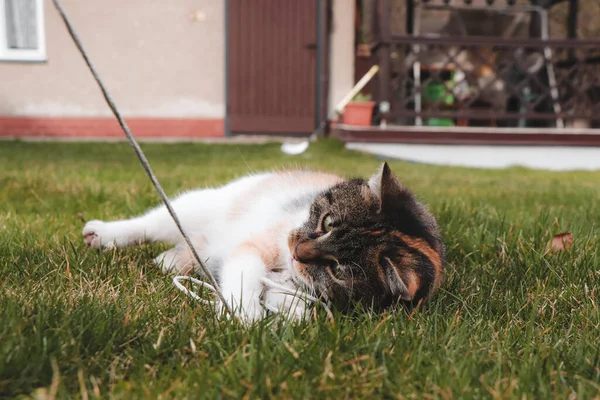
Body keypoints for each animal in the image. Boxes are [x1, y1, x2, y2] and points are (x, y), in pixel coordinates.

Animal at [82, 162, 442, 322]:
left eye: (338, 269)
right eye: (327, 222)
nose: (297, 251)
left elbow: (290, 301)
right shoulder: (264, 240)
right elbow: (246, 273)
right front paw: (245, 317)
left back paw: (171, 260)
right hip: (203, 205)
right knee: (153, 223)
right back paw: (103, 233)